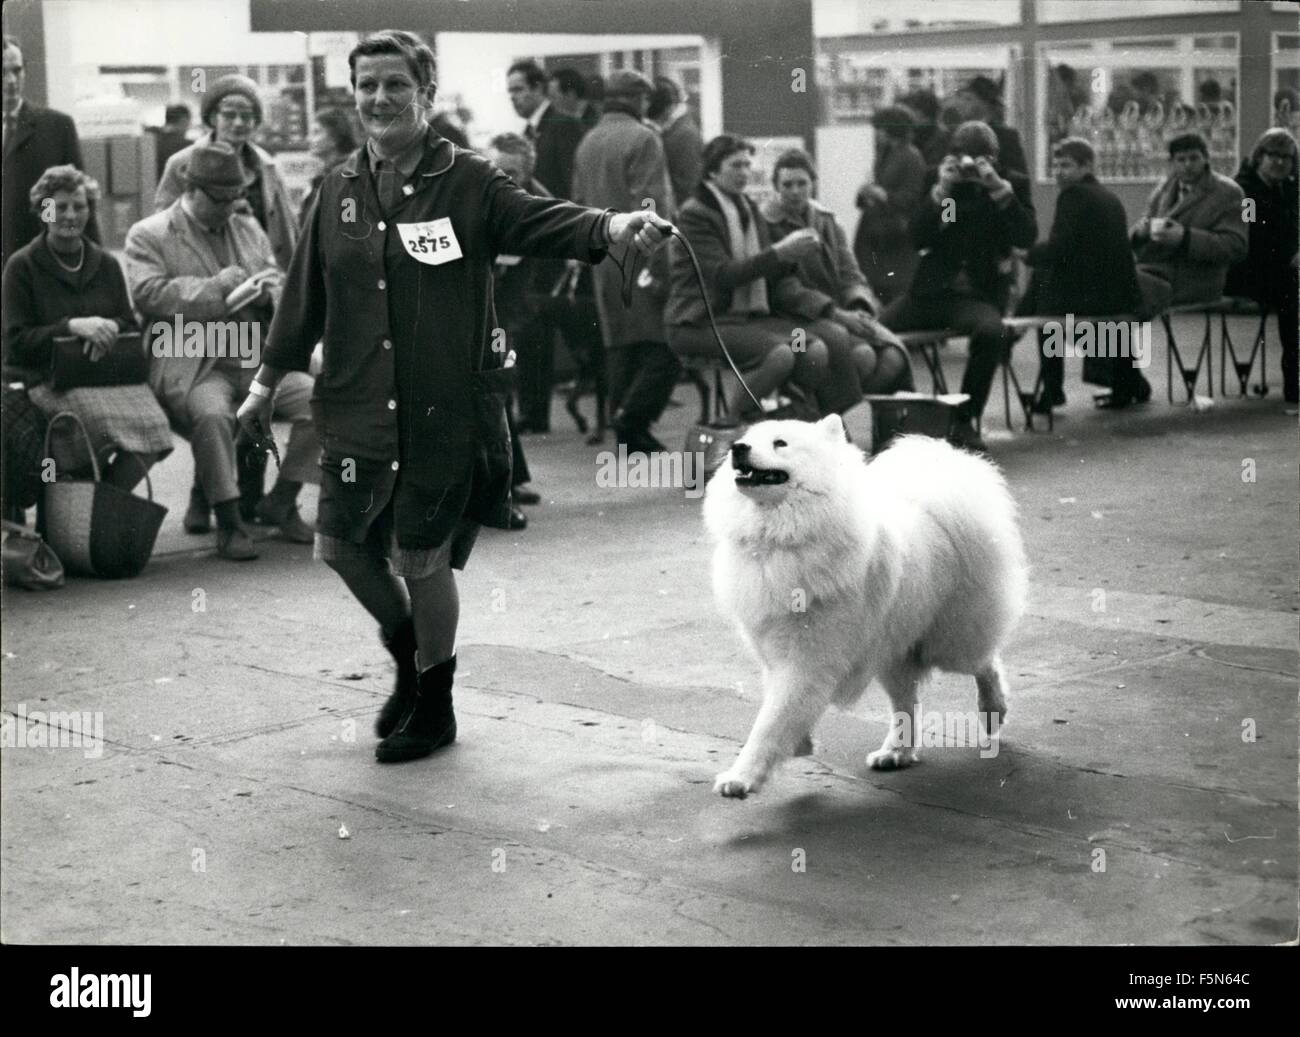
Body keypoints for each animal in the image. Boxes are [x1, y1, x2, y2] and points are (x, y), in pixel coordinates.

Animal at [702, 418, 1024, 800]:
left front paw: (741, 777)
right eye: (747, 439)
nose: (737, 448)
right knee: (906, 704)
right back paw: (895, 753)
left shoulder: (808, 656)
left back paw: (993, 710)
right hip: (891, 649)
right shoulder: (774, 651)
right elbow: (783, 707)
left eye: (780, 443)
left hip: (948, 642)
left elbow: (770, 722)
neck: (783, 537)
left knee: (985, 662)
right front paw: (801, 743)